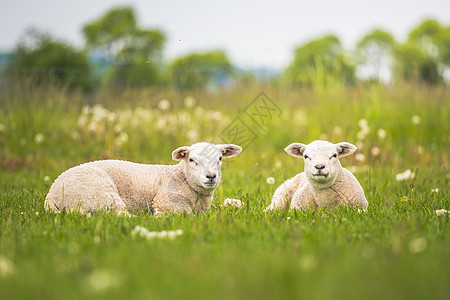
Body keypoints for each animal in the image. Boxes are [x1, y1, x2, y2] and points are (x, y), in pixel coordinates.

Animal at [44, 142, 243, 214]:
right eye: (192, 160)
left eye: (220, 158)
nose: (211, 176)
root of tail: (51, 194)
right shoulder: (166, 201)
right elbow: (184, 214)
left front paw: (234, 204)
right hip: (100, 194)